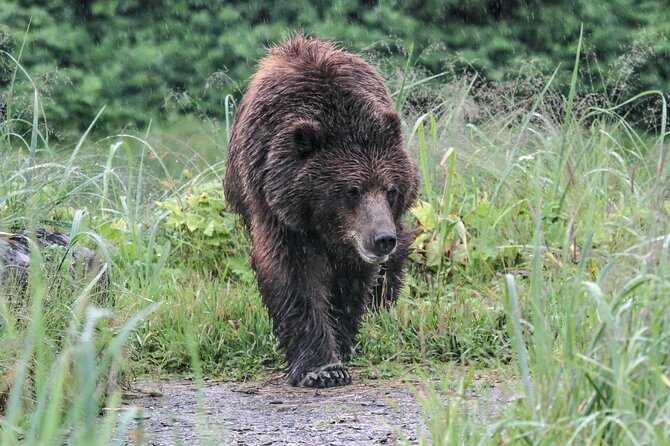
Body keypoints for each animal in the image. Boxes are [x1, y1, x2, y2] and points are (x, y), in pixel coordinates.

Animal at [224, 36, 419, 388]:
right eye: (351, 190)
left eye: (390, 189)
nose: (382, 239)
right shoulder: (277, 209)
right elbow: (294, 277)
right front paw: (322, 368)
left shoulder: (357, 237)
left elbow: (350, 282)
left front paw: (341, 346)